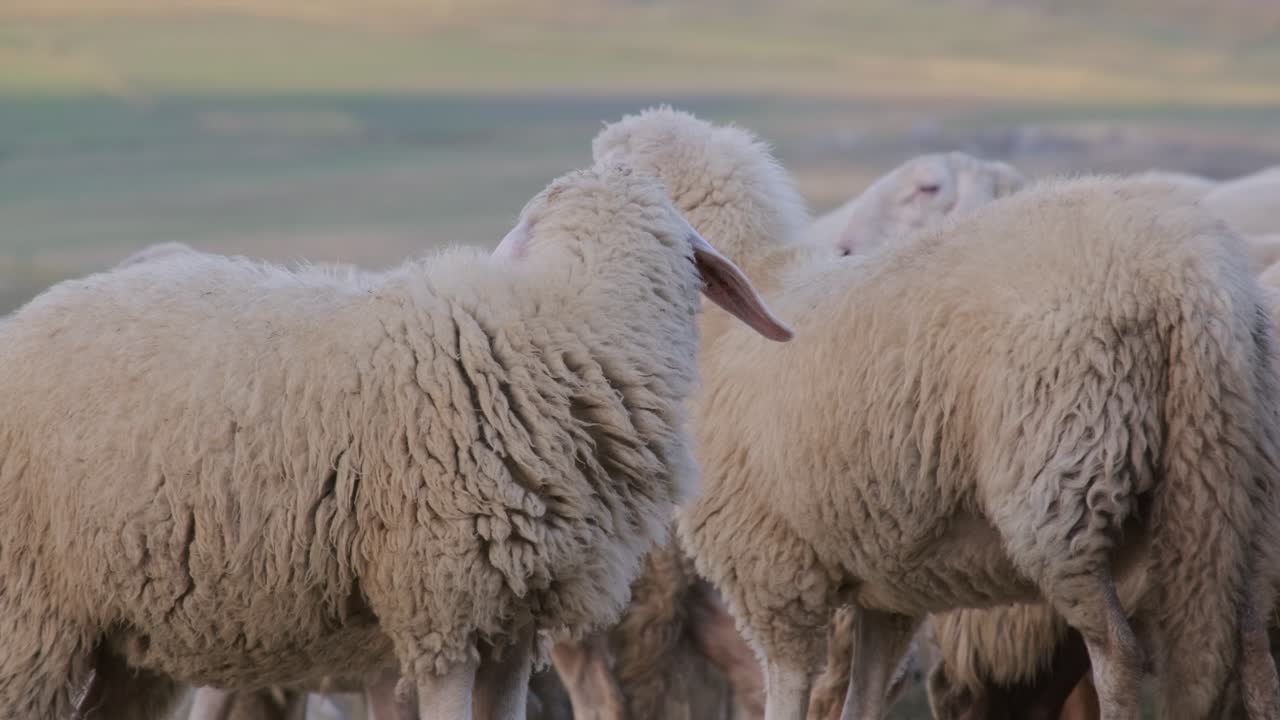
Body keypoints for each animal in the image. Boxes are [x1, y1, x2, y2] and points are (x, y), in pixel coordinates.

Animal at [0, 162, 794, 720]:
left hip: (122, 639)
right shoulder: (440, 605)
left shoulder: (517, 616)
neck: (566, 325)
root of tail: (26, 317)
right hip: (28, 616)